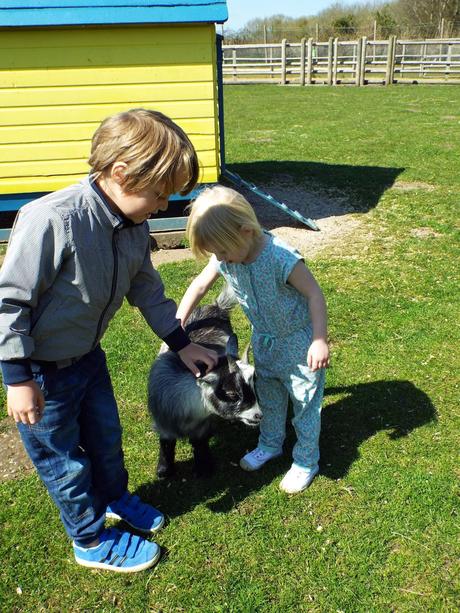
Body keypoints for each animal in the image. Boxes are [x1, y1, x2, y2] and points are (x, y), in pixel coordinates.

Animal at [148, 286, 262, 478]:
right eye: (232, 393)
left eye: (254, 386)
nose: (258, 415)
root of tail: (216, 307)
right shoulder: (164, 424)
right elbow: (166, 443)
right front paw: (164, 470)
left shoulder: (201, 424)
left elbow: (200, 443)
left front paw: (204, 468)